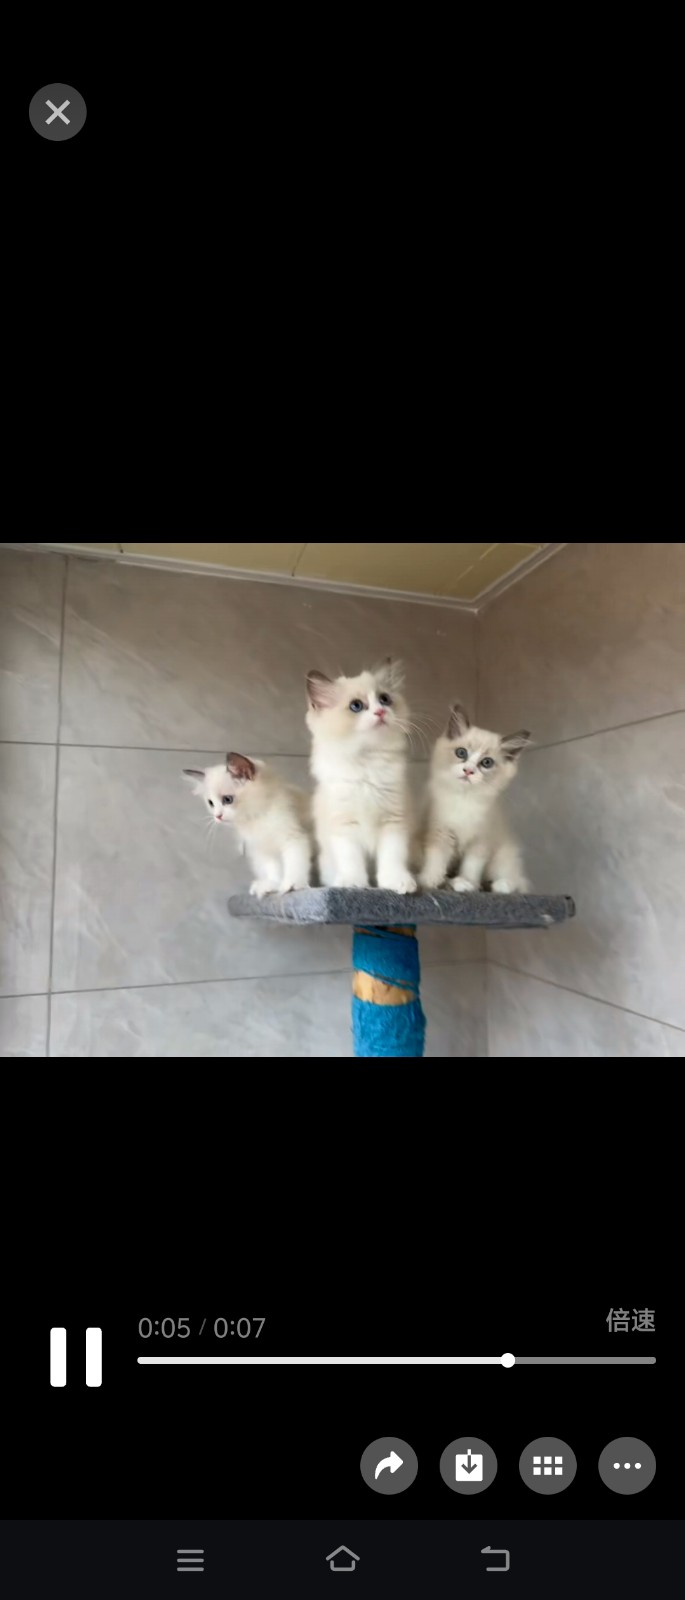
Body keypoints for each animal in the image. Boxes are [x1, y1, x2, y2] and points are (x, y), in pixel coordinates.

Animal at [183, 753, 312, 897]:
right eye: (211, 803)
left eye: (227, 800)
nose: (217, 816)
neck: (254, 819)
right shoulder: (263, 850)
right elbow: (273, 869)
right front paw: (272, 885)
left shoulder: (293, 837)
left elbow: (294, 863)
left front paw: (292, 886)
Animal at [306, 660, 417, 893]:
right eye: (356, 706)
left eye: (385, 699)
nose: (380, 712)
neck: (367, 764)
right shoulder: (344, 825)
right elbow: (351, 860)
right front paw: (353, 883)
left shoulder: (394, 821)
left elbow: (392, 858)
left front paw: (396, 882)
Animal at [422, 704, 530, 892]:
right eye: (461, 753)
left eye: (486, 763)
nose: (468, 771)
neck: (465, 800)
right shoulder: (440, 830)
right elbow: (436, 859)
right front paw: (429, 881)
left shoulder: (481, 839)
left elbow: (471, 866)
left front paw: (468, 883)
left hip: (502, 855)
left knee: (517, 882)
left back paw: (499, 885)